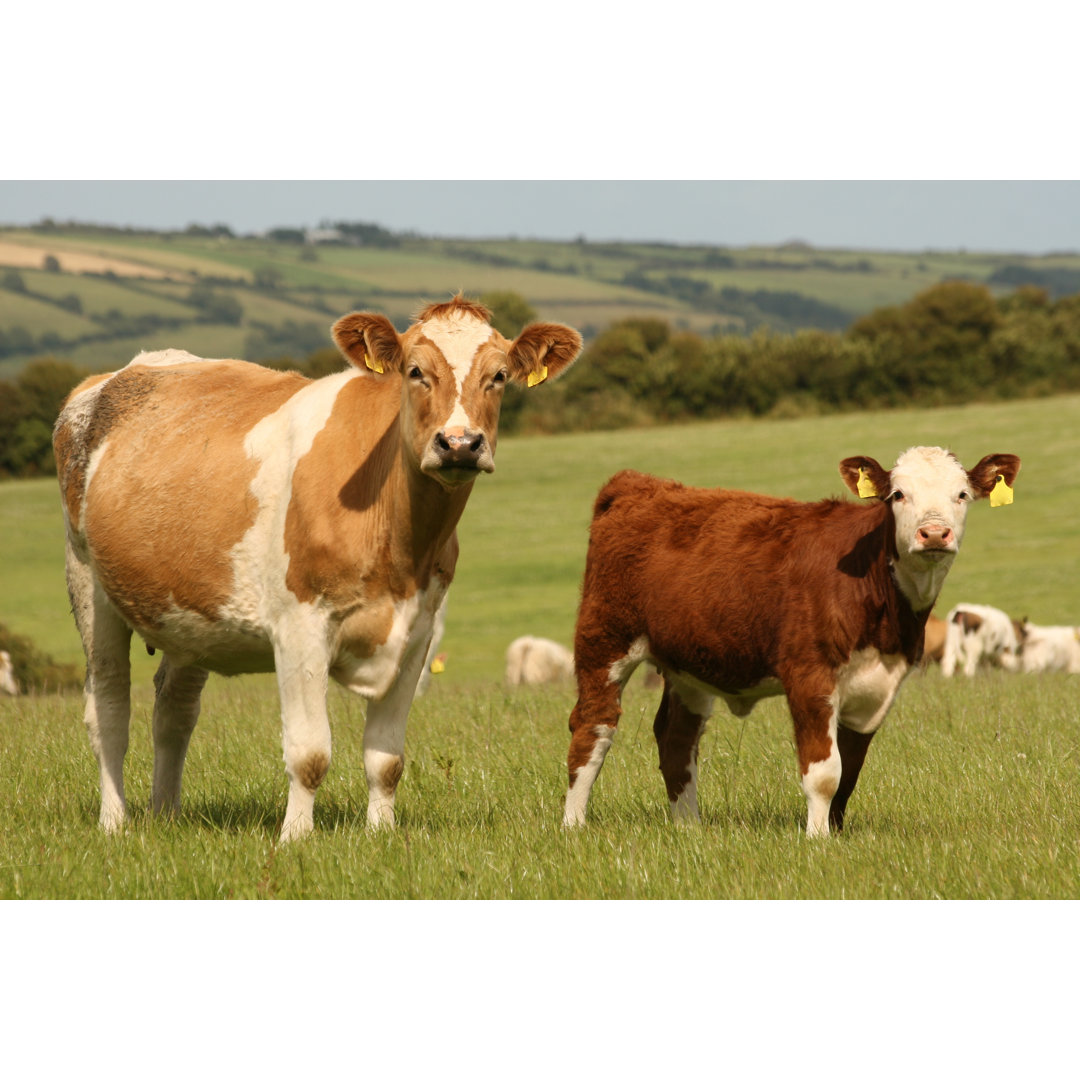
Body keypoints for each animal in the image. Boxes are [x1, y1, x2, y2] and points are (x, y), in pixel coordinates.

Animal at [53, 295, 582, 840]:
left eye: (498, 376)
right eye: (415, 371)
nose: (459, 444)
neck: (396, 536)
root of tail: (127, 370)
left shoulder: (417, 633)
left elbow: (386, 759)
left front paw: (380, 833)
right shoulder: (299, 626)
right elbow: (309, 754)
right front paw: (295, 837)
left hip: (189, 614)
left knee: (174, 711)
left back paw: (166, 813)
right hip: (89, 586)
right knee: (108, 710)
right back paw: (115, 821)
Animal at [563, 446, 1020, 837]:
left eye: (962, 494)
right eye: (897, 494)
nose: (934, 533)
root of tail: (638, 484)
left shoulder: (877, 689)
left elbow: (849, 770)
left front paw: (836, 832)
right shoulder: (809, 674)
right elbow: (824, 772)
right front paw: (816, 839)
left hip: (688, 662)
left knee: (677, 737)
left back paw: (689, 827)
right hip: (604, 639)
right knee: (593, 726)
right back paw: (574, 824)